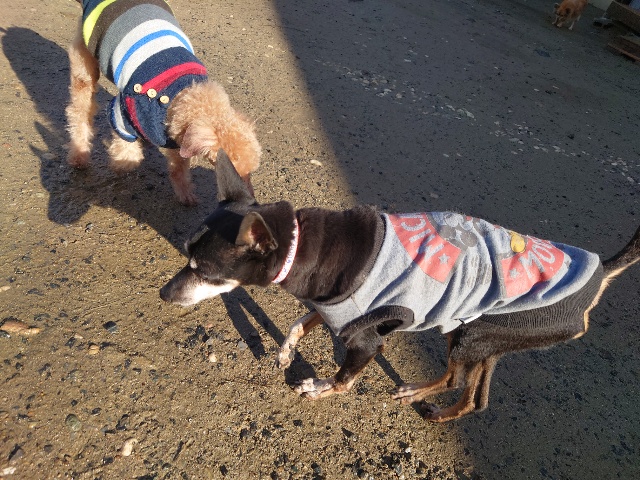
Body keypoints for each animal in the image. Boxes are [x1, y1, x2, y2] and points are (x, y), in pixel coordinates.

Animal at [66, 0, 261, 205]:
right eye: (235, 172)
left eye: (251, 173)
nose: (251, 199)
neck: (184, 93)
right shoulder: (122, 112)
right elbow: (127, 154)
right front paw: (120, 162)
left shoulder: (177, 138)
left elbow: (179, 167)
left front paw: (185, 193)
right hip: (84, 68)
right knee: (79, 112)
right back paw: (79, 156)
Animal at [161, 151, 640, 422]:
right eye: (187, 258)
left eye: (205, 271)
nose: (164, 294)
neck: (305, 246)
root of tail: (599, 274)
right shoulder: (336, 309)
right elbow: (300, 322)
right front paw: (285, 351)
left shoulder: (367, 340)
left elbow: (344, 380)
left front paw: (317, 388)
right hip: (474, 333)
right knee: (470, 392)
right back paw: (426, 399)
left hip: (475, 333)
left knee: (461, 380)